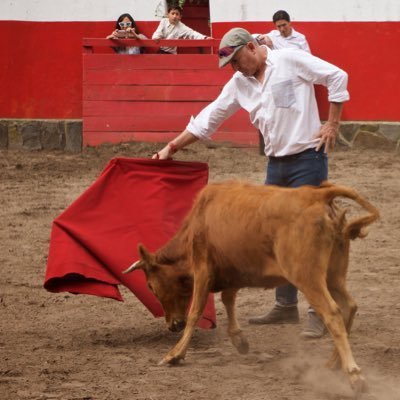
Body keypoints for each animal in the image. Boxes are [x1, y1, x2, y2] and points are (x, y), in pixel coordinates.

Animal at [124, 181, 378, 394]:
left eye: (150, 286)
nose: (173, 325)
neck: (199, 221)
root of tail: (316, 195)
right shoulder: (234, 272)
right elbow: (228, 299)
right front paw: (239, 340)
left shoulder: (203, 269)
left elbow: (196, 311)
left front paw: (175, 354)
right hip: (333, 277)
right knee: (349, 307)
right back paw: (333, 364)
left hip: (308, 277)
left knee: (332, 313)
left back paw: (354, 376)